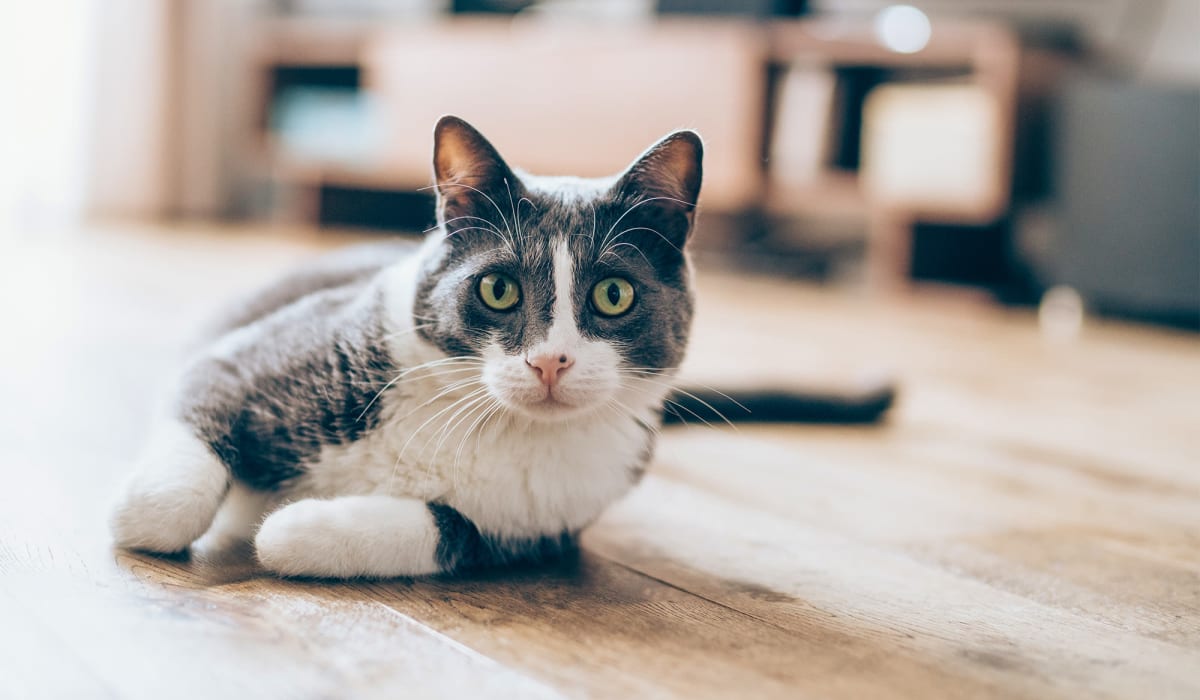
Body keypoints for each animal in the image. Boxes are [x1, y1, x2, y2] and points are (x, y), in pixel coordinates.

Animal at [110, 116, 892, 581]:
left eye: (614, 295)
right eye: (498, 289)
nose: (550, 360)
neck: (487, 420)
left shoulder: (550, 521)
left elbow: (451, 529)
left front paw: (298, 528)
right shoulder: (246, 358)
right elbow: (179, 464)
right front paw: (138, 513)